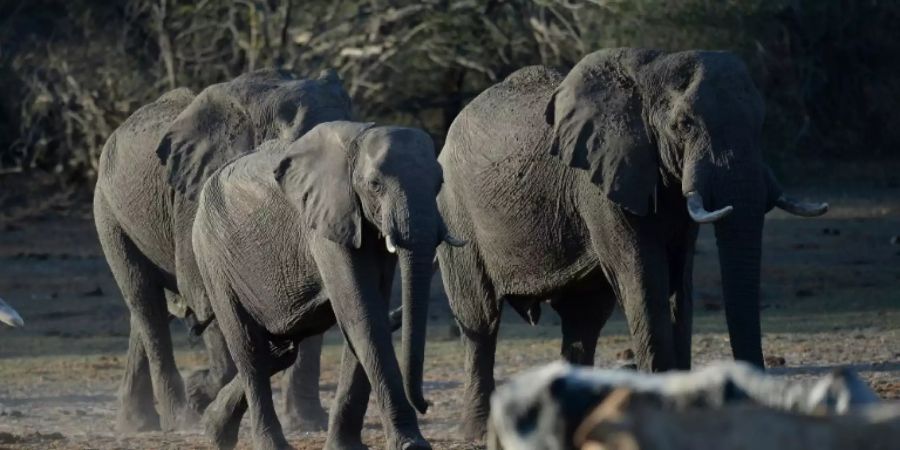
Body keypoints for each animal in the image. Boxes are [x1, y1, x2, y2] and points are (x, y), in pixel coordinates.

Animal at [93, 67, 350, 432]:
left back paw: (139, 423)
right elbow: (204, 293)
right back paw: (180, 419)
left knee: (145, 311)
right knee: (145, 301)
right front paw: (200, 392)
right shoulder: (196, 198)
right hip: (108, 211)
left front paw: (307, 425)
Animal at [189, 119, 458, 450]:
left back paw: (213, 430)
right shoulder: (327, 222)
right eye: (375, 185)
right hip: (213, 256)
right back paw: (269, 444)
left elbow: (365, 316)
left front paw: (347, 447)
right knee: (249, 348)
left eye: (439, 183)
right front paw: (412, 445)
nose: (426, 405)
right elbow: (363, 316)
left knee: (280, 349)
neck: (358, 140)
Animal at [436, 49, 828, 440]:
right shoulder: (600, 182)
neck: (650, 74)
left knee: (583, 320)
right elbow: (645, 280)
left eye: (761, 124)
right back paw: (477, 432)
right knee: (481, 320)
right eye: (684, 124)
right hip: (455, 212)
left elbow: (678, 284)